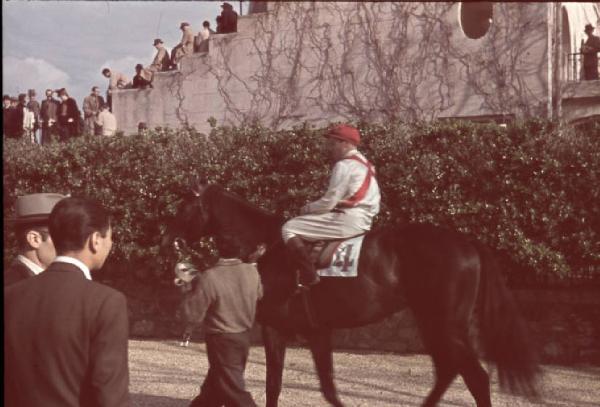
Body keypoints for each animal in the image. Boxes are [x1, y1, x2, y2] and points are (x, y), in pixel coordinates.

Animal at [162, 182, 540, 407]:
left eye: (184, 209)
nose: (170, 239)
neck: (268, 248)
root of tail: (468, 243)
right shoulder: (318, 331)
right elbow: (323, 385)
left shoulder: (276, 328)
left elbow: (275, 382)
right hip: (431, 322)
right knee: (449, 370)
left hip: (445, 324)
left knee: (475, 376)